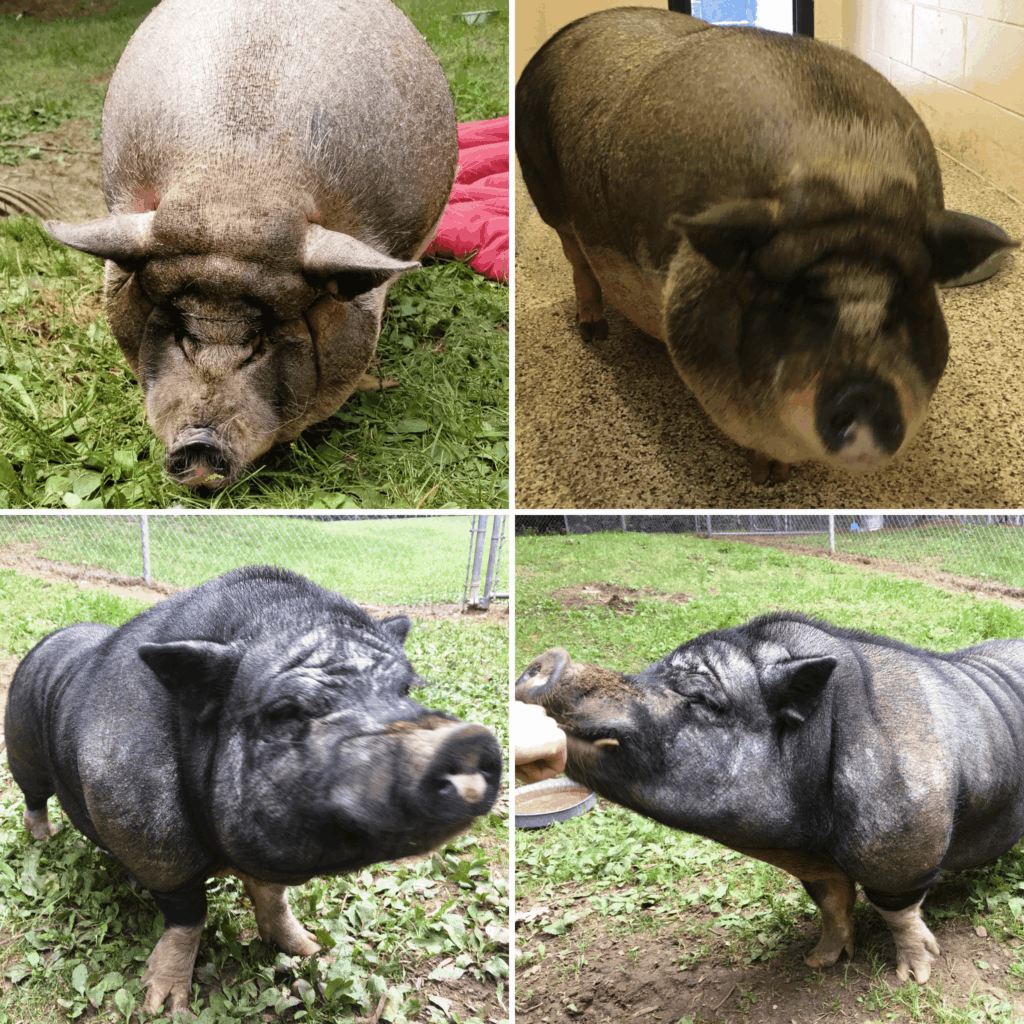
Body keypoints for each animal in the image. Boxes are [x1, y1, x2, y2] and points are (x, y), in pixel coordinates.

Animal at [5, 566, 501, 1015]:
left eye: (405, 690)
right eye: (287, 711)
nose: (466, 740)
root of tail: (51, 638)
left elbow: (273, 897)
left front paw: (309, 950)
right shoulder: (153, 840)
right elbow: (188, 916)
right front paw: (164, 1005)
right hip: (21, 745)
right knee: (33, 795)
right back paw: (43, 838)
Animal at [516, 8, 1017, 482]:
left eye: (906, 301)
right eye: (796, 300)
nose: (864, 395)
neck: (852, 182)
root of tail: (566, 32)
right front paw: (767, 479)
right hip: (547, 198)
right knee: (577, 260)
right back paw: (593, 331)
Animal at [516, 612, 1024, 984]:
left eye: (702, 698)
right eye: (647, 669)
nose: (548, 659)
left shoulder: (901, 849)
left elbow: (898, 914)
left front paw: (913, 977)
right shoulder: (813, 861)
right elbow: (833, 903)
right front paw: (818, 962)